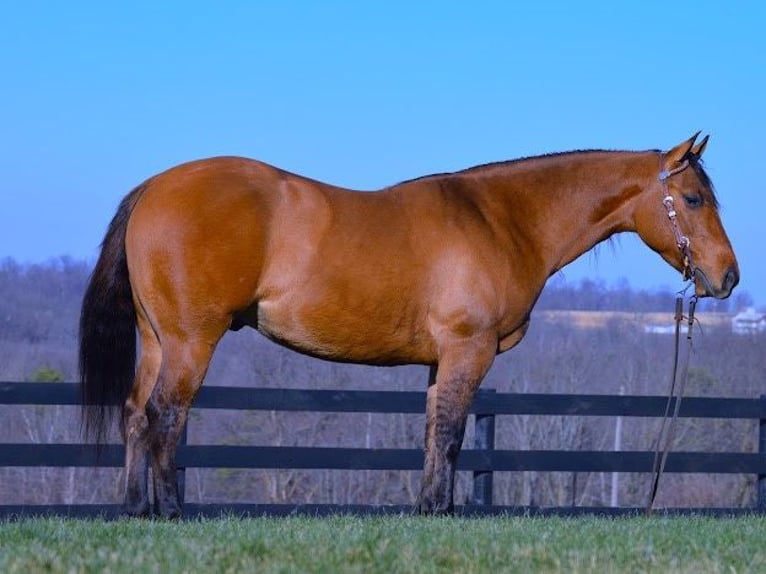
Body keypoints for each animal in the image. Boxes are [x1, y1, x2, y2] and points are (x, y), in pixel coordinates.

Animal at [78, 133, 736, 520]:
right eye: (695, 199)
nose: (728, 277)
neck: (500, 219)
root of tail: (155, 188)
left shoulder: (438, 361)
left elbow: (433, 432)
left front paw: (429, 509)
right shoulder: (469, 350)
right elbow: (452, 434)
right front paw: (441, 512)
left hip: (157, 340)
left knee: (135, 414)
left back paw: (135, 511)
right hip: (192, 341)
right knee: (165, 414)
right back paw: (169, 513)